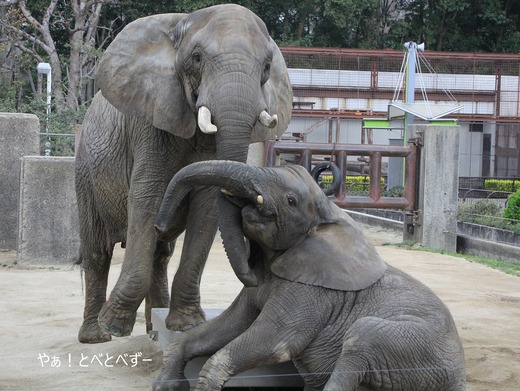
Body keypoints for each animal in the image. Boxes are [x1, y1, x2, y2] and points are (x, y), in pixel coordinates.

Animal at [75, 4, 292, 344]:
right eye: (197, 57)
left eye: (267, 65)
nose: (254, 275)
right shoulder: (151, 122)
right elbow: (146, 197)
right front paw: (115, 325)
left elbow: (207, 205)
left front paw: (186, 325)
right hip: (85, 171)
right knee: (97, 251)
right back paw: (96, 336)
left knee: (161, 252)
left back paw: (153, 328)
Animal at [152, 160, 466, 391]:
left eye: (291, 200)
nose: (160, 227)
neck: (330, 214)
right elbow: (229, 325)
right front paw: (165, 385)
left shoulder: (310, 291)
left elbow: (273, 341)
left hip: (416, 348)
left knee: (362, 337)